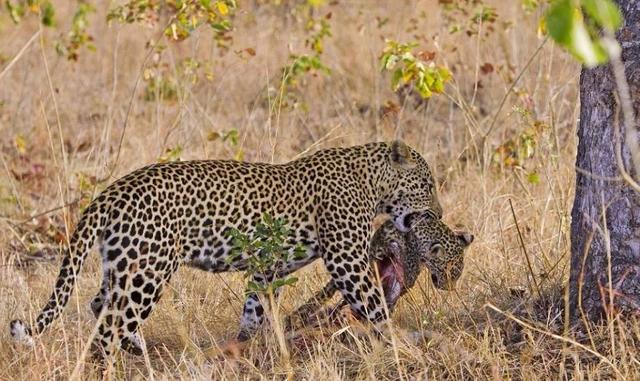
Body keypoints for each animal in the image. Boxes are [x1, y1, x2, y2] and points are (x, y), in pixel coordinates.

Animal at [10, 140, 442, 360]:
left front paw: (244, 347)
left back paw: (140, 353)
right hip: (148, 269)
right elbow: (375, 305)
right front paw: (402, 345)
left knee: (103, 307)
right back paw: (117, 362)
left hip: (125, 263)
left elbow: (255, 309)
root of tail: (111, 192)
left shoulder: (266, 268)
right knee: (112, 324)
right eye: (428, 184)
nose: (438, 212)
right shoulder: (346, 257)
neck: (372, 181)